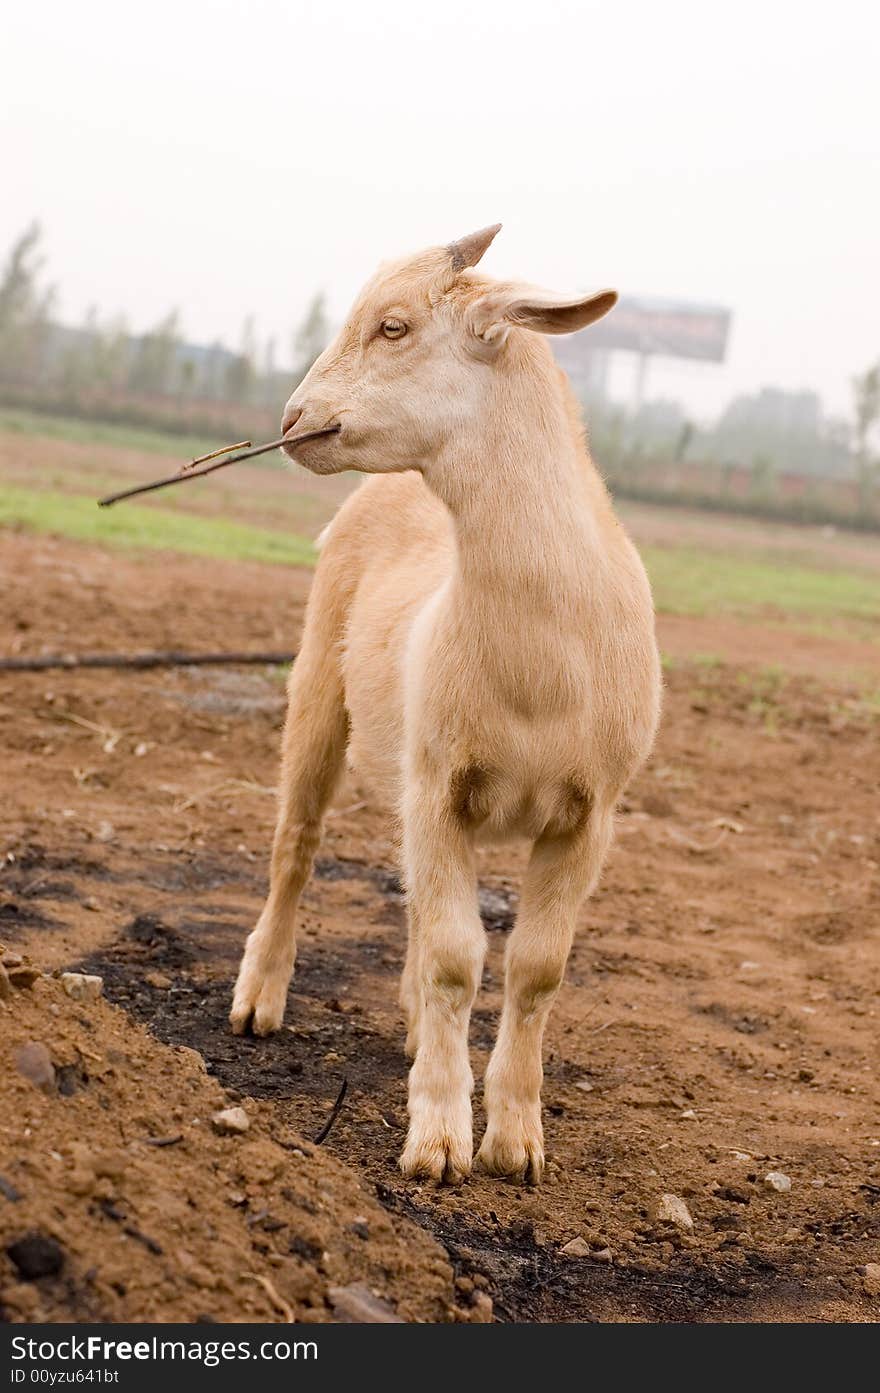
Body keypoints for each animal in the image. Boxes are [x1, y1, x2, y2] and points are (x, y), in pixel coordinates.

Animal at [232, 228, 660, 1186]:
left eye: (393, 325)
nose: (294, 419)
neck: (542, 672)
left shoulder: (591, 814)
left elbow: (536, 966)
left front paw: (518, 1141)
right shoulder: (441, 787)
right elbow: (460, 958)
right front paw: (436, 1136)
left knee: (413, 905)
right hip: (321, 689)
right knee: (296, 846)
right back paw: (258, 998)